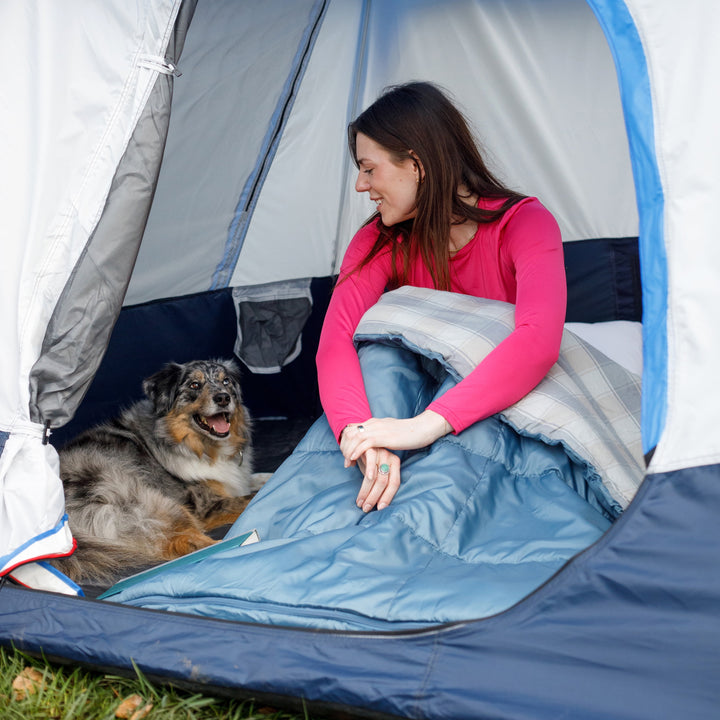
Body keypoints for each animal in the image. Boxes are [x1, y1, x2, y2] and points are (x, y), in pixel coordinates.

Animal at [53, 360, 268, 584]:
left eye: (226, 381)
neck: (199, 447)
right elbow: (250, 498)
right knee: (187, 544)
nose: (223, 397)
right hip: (156, 504)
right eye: (194, 385)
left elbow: (256, 480)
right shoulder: (206, 506)